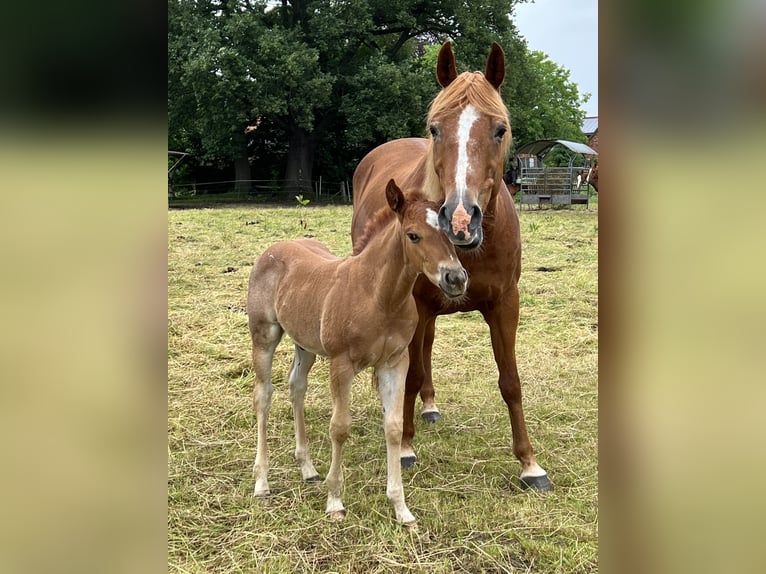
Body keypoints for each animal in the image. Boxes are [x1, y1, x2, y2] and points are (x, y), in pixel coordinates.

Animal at [247, 179, 468, 525]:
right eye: (413, 235)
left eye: (450, 233)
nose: (456, 279)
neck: (378, 297)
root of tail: (274, 248)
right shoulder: (341, 364)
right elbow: (340, 428)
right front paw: (334, 501)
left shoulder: (395, 362)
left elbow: (394, 427)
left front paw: (401, 508)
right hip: (264, 336)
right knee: (263, 395)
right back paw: (261, 483)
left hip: (305, 344)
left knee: (296, 386)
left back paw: (307, 468)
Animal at [350, 42, 552, 491]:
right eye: (435, 128)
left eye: (499, 129)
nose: (460, 219)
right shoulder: (418, 304)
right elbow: (407, 377)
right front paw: (405, 448)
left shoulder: (505, 305)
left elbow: (510, 382)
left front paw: (530, 464)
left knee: (426, 347)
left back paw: (429, 405)